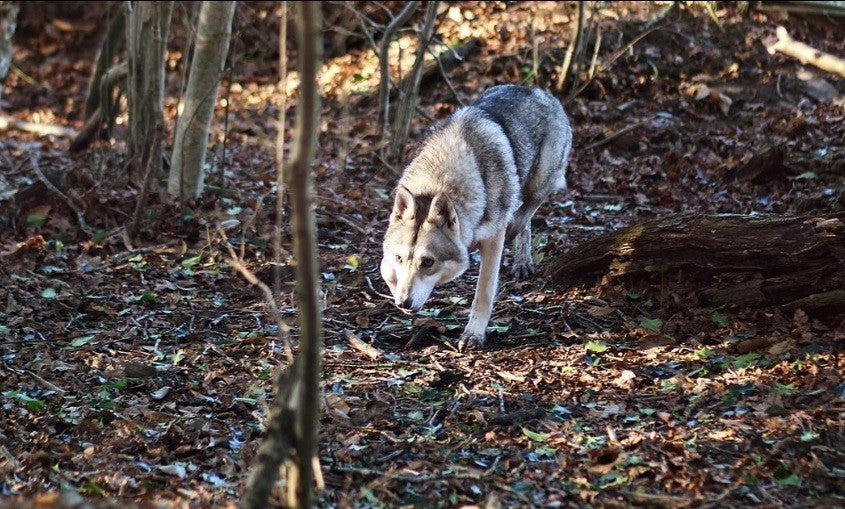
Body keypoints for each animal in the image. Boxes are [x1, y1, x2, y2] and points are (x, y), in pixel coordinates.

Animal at [382, 85, 572, 348]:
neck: (439, 179)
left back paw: (521, 253)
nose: (403, 303)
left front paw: (473, 334)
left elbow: (484, 292)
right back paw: (522, 262)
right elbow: (386, 271)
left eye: (428, 262)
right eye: (399, 258)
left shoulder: (493, 240)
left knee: (525, 214)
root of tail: (539, 90)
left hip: (541, 182)